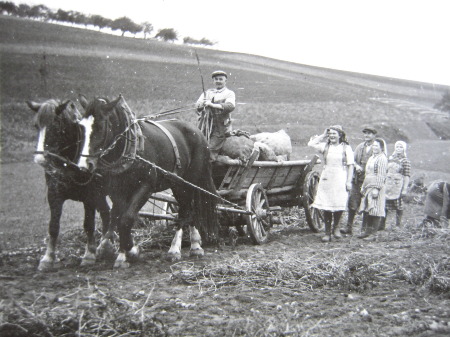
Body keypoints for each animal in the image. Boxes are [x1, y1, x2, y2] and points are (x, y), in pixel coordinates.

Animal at [27, 98, 114, 270]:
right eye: (36, 126)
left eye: (55, 126)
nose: (40, 159)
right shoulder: (54, 194)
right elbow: (53, 226)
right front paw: (48, 258)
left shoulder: (90, 197)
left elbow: (89, 225)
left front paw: (89, 254)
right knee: (107, 213)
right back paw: (106, 244)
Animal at [77, 94, 218, 268]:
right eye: (81, 127)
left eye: (100, 126)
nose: (84, 165)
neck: (132, 149)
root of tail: (198, 133)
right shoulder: (117, 190)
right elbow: (117, 216)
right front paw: (119, 250)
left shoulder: (146, 187)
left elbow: (126, 219)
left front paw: (128, 252)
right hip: (177, 183)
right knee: (190, 209)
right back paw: (195, 245)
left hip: (187, 182)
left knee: (186, 210)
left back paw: (175, 249)